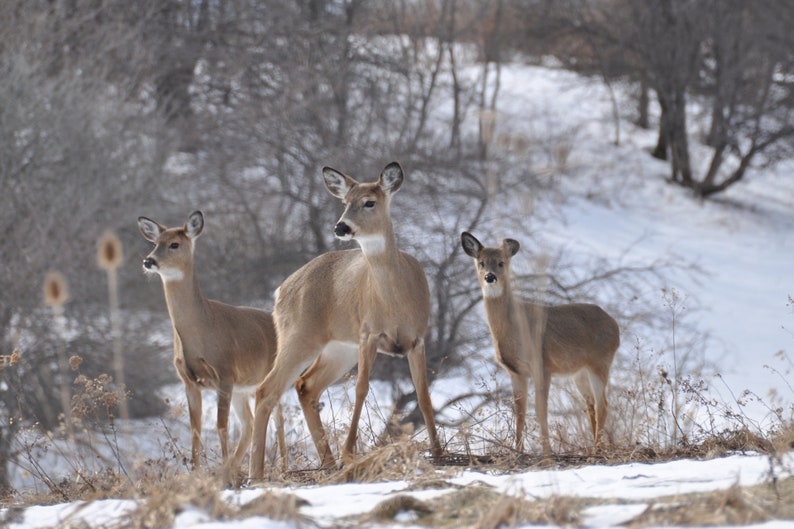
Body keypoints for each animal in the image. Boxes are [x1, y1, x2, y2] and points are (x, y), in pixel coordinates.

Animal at [138, 209, 284, 474]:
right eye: (155, 243)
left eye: (174, 244)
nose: (148, 261)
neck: (201, 331)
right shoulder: (189, 381)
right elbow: (195, 430)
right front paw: (197, 473)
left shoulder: (224, 374)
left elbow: (220, 426)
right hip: (243, 388)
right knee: (250, 423)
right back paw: (237, 470)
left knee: (278, 419)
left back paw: (282, 469)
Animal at [248, 163, 440, 480]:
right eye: (345, 202)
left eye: (369, 202)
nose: (341, 227)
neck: (395, 302)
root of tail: (281, 290)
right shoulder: (368, 333)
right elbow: (361, 389)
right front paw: (349, 453)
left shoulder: (418, 338)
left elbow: (423, 394)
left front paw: (439, 452)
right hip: (299, 335)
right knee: (267, 389)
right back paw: (257, 473)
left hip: (339, 349)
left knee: (305, 386)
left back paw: (325, 463)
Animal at [458, 233, 620, 456]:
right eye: (481, 262)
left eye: (501, 262)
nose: (490, 277)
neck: (514, 327)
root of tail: (615, 325)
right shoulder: (516, 372)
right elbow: (520, 412)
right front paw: (517, 450)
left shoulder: (543, 365)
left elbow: (540, 410)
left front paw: (546, 451)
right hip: (579, 372)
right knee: (591, 405)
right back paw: (594, 446)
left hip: (600, 362)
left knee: (603, 404)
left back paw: (596, 449)